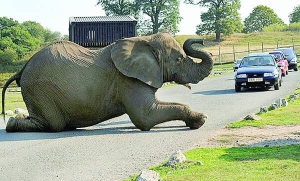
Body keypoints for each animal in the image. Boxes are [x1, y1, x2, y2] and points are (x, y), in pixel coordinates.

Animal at [2, 33, 213, 132]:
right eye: (178, 59)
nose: (201, 40)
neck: (145, 39)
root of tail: (22, 69)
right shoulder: (127, 79)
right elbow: (145, 116)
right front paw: (200, 119)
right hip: (41, 91)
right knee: (54, 124)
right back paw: (12, 123)